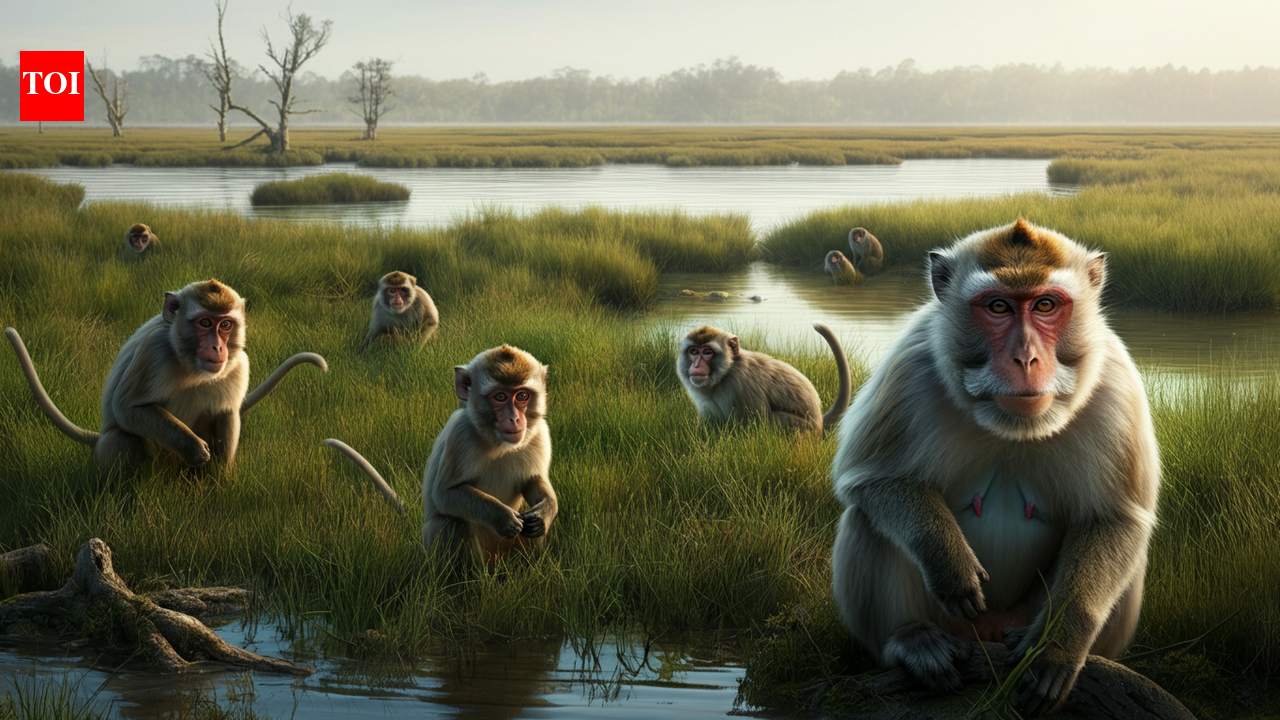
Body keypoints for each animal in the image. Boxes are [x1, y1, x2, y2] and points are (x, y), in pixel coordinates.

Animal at [5, 279, 327, 471]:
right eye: (205, 322)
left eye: (225, 325)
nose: (217, 347)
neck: (190, 365)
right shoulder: (153, 351)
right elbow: (128, 409)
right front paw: (195, 448)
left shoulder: (239, 364)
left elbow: (226, 413)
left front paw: (219, 480)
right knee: (121, 438)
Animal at [325, 344, 556, 563]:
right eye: (500, 396)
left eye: (522, 395)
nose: (514, 419)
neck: (498, 443)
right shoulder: (460, 434)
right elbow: (445, 494)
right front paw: (502, 517)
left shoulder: (540, 434)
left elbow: (533, 481)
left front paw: (545, 512)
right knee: (448, 523)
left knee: (531, 530)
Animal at [677, 322, 851, 435]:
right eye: (694, 351)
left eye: (707, 352)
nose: (696, 365)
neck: (724, 374)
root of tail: (819, 423)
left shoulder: (739, 385)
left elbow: (756, 425)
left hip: (803, 428)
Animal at [829, 219, 1159, 716]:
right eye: (998, 306)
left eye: (1045, 304)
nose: (1025, 358)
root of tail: (989, 638)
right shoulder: (910, 364)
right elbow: (873, 480)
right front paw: (947, 561)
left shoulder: (1117, 385)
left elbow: (1115, 519)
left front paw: (1056, 645)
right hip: (954, 624)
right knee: (866, 519)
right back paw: (912, 642)